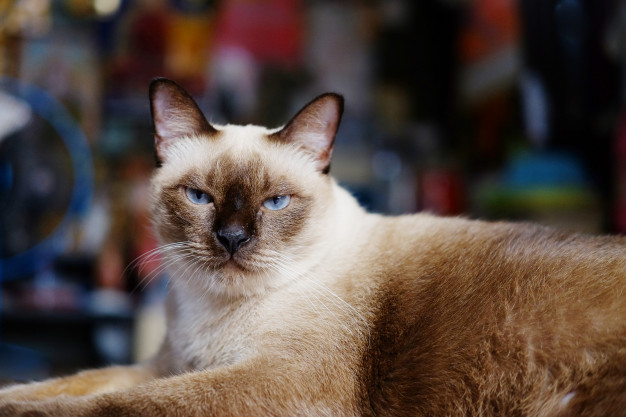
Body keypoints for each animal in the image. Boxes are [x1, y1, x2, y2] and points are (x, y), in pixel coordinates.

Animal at [1, 77, 624, 412]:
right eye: (200, 197)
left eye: (276, 203)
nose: (232, 239)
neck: (211, 315)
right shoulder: (167, 366)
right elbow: (67, 384)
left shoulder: (275, 379)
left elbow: (112, 404)